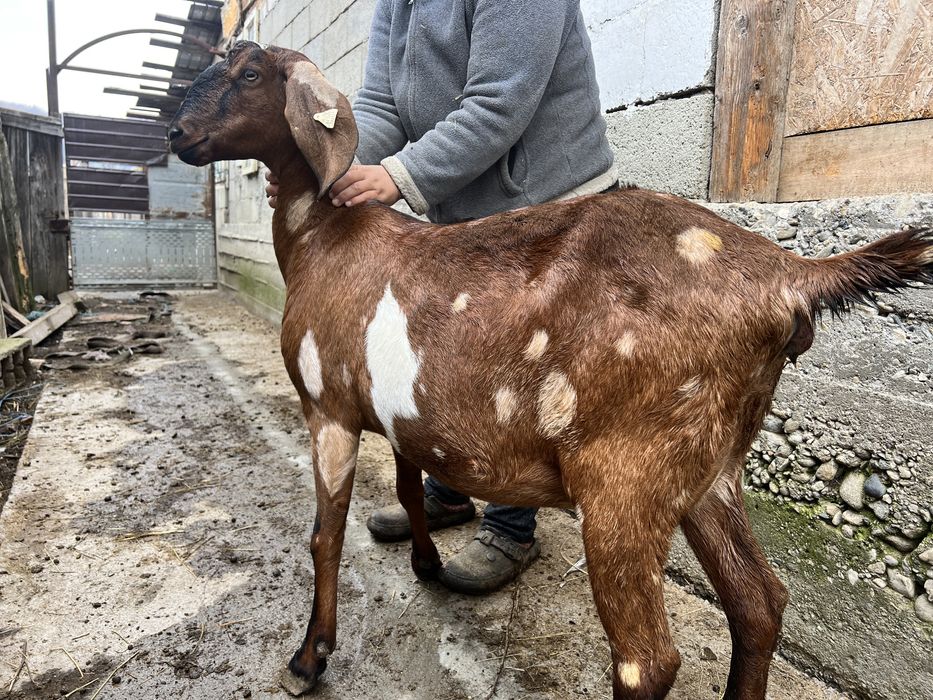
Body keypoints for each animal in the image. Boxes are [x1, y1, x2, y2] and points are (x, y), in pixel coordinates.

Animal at [169, 42, 933, 700]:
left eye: (247, 75)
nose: (177, 133)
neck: (323, 239)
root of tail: (787, 276)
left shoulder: (327, 406)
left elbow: (324, 535)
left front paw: (309, 657)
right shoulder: (396, 409)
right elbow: (411, 487)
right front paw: (425, 563)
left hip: (624, 474)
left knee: (647, 661)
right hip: (710, 467)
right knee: (759, 604)